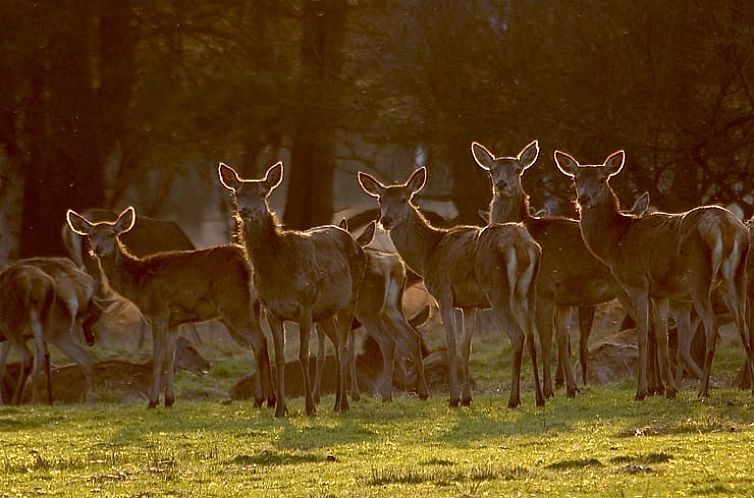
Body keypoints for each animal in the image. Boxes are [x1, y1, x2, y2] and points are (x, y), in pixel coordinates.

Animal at [65, 206, 274, 408]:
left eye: (111, 234)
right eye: (91, 234)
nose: (98, 249)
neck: (138, 282)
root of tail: (249, 266)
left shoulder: (158, 313)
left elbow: (158, 358)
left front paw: (152, 402)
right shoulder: (174, 321)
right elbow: (170, 357)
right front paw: (169, 400)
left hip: (235, 305)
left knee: (259, 340)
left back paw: (264, 399)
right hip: (251, 307)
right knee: (260, 341)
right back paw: (265, 399)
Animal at [216, 160, 366, 416]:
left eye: (262, 193)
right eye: (237, 193)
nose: (245, 211)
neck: (278, 273)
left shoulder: (305, 305)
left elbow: (304, 355)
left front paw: (309, 408)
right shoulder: (272, 311)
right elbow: (280, 358)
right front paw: (280, 409)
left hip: (350, 298)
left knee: (344, 348)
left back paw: (344, 404)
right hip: (325, 312)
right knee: (337, 345)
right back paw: (337, 403)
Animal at [356, 167, 540, 408]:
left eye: (404, 199)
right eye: (380, 199)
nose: (385, 220)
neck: (428, 253)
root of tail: (524, 246)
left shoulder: (443, 295)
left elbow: (451, 345)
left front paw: (454, 399)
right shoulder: (469, 304)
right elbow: (465, 347)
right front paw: (467, 398)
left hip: (498, 291)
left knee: (518, 335)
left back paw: (513, 399)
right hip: (527, 291)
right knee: (532, 335)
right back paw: (541, 397)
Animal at [556, 150, 748, 398]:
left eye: (602, 179)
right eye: (576, 179)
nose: (584, 199)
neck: (616, 242)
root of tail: (727, 227)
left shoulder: (637, 282)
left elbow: (643, 334)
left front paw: (642, 391)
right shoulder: (660, 293)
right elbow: (662, 336)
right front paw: (670, 390)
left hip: (699, 276)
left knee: (712, 323)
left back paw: (703, 391)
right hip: (737, 276)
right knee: (744, 326)